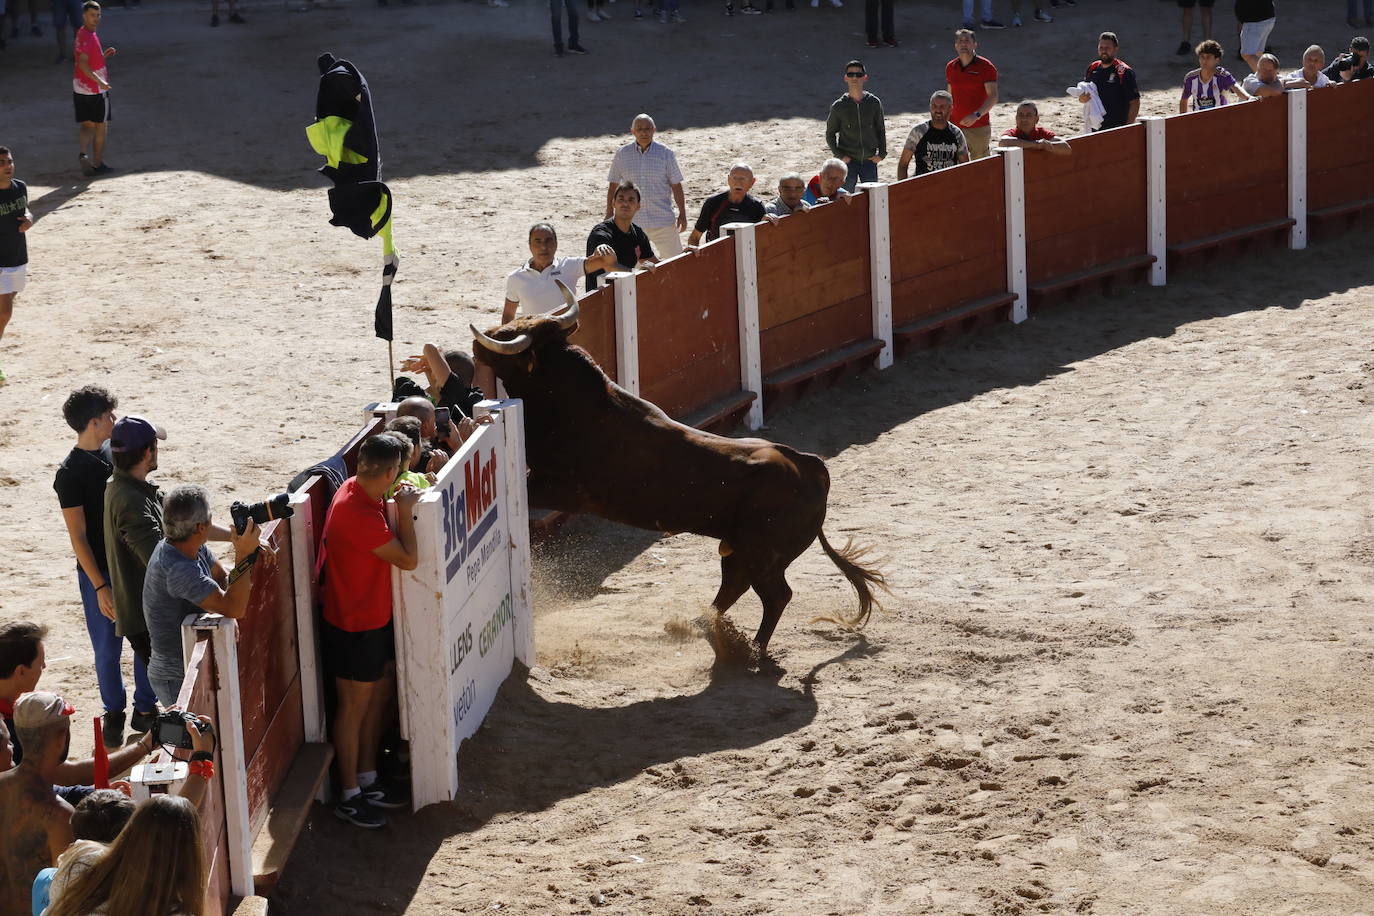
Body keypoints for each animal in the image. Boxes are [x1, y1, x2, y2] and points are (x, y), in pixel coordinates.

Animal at [472, 282, 879, 656]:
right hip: (741, 547)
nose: (480, 342)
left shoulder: (561, 489)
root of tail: (809, 466)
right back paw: (699, 624)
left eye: (510, 337)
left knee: (775, 594)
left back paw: (751, 650)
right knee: (735, 584)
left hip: (763, 552)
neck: (577, 405)